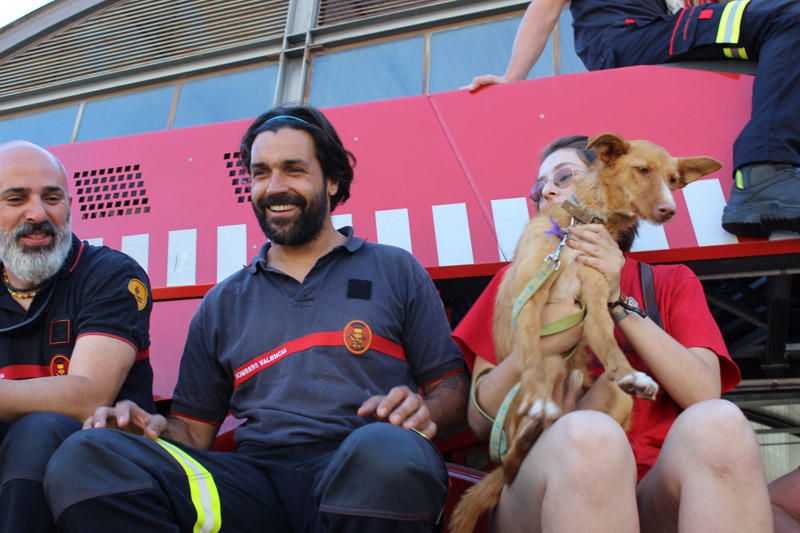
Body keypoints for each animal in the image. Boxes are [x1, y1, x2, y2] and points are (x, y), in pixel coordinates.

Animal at [450, 133, 724, 532]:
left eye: (673, 180)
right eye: (642, 170)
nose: (669, 210)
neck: (580, 224)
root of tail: (565, 412)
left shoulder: (594, 307)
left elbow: (611, 347)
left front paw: (631, 374)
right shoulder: (531, 301)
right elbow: (530, 354)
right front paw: (535, 392)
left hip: (608, 402)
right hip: (532, 398)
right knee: (512, 463)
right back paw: (533, 424)